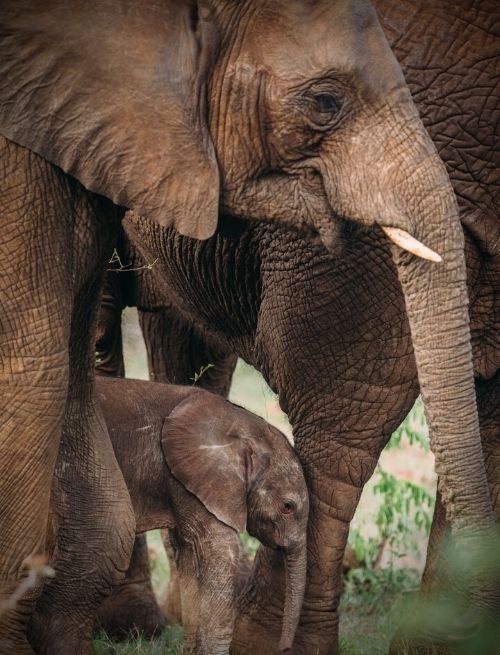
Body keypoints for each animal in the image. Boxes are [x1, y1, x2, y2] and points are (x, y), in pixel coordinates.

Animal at [94, 376, 308, 652]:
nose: (283, 648)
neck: (241, 424)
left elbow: (188, 556)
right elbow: (217, 550)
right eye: (287, 507)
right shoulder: (187, 479)